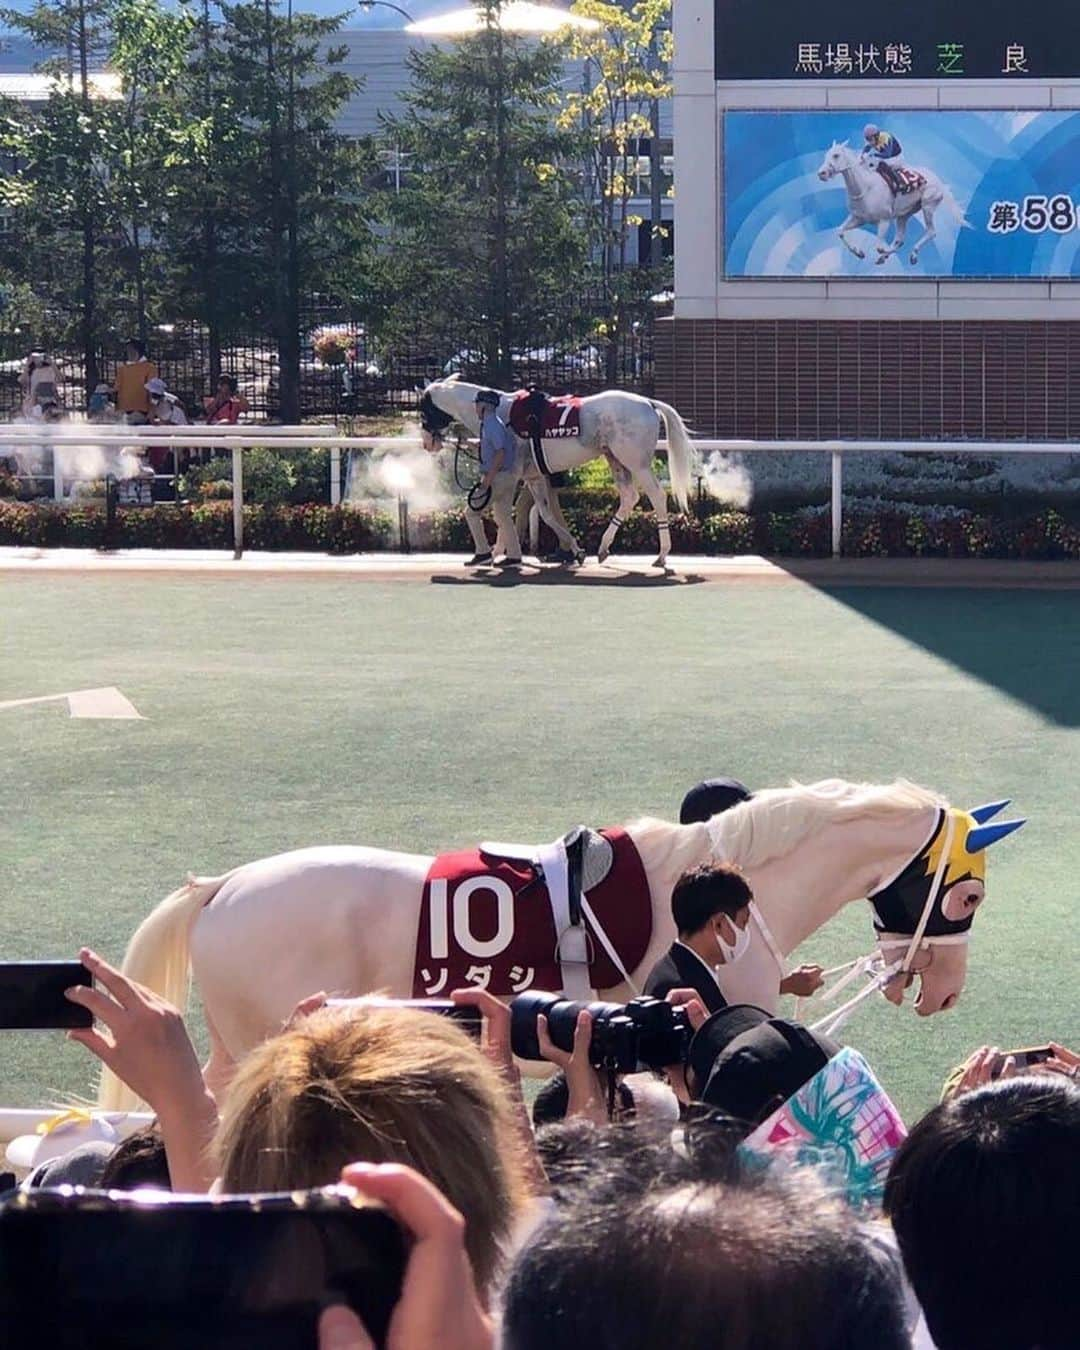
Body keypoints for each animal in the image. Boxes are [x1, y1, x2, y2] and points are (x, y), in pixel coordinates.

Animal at [418, 378, 696, 567]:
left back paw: (662, 554)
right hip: (614, 458)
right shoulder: (533, 476)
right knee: (629, 497)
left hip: (636, 462)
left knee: (657, 496)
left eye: (423, 409)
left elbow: (504, 511)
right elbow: (542, 513)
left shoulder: (509, 474)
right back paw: (603, 547)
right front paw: (573, 549)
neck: (501, 414)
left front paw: (494, 553)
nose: (427, 443)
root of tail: (649, 402)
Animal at [820, 143, 972, 268]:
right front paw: (859, 252)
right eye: (826, 155)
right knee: (900, 238)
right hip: (904, 214)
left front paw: (882, 253)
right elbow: (840, 231)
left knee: (930, 232)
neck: (865, 187)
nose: (821, 173)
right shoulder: (858, 218)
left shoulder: (884, 220)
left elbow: (879, 247)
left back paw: (913, 254)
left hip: (928, 205)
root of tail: (939, 181)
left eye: (836, 155)